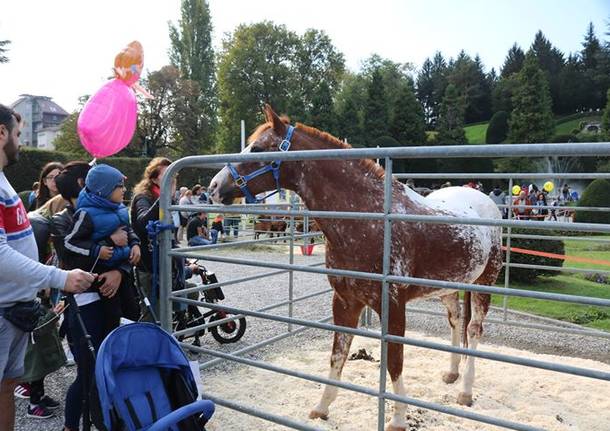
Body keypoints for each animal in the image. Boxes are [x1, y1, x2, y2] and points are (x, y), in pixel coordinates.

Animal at [207, 105, 502, 431]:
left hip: (485, 281)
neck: (367, 219)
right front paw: (321, 407)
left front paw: (398, 418)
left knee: (474, 329)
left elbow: (394, 361)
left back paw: (466, 391)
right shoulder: (345, 301)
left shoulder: (392, 306)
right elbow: (338, 354)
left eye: (258, 148)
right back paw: (452, 373)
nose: (214, 187)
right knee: (455, 320)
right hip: (448, 286)